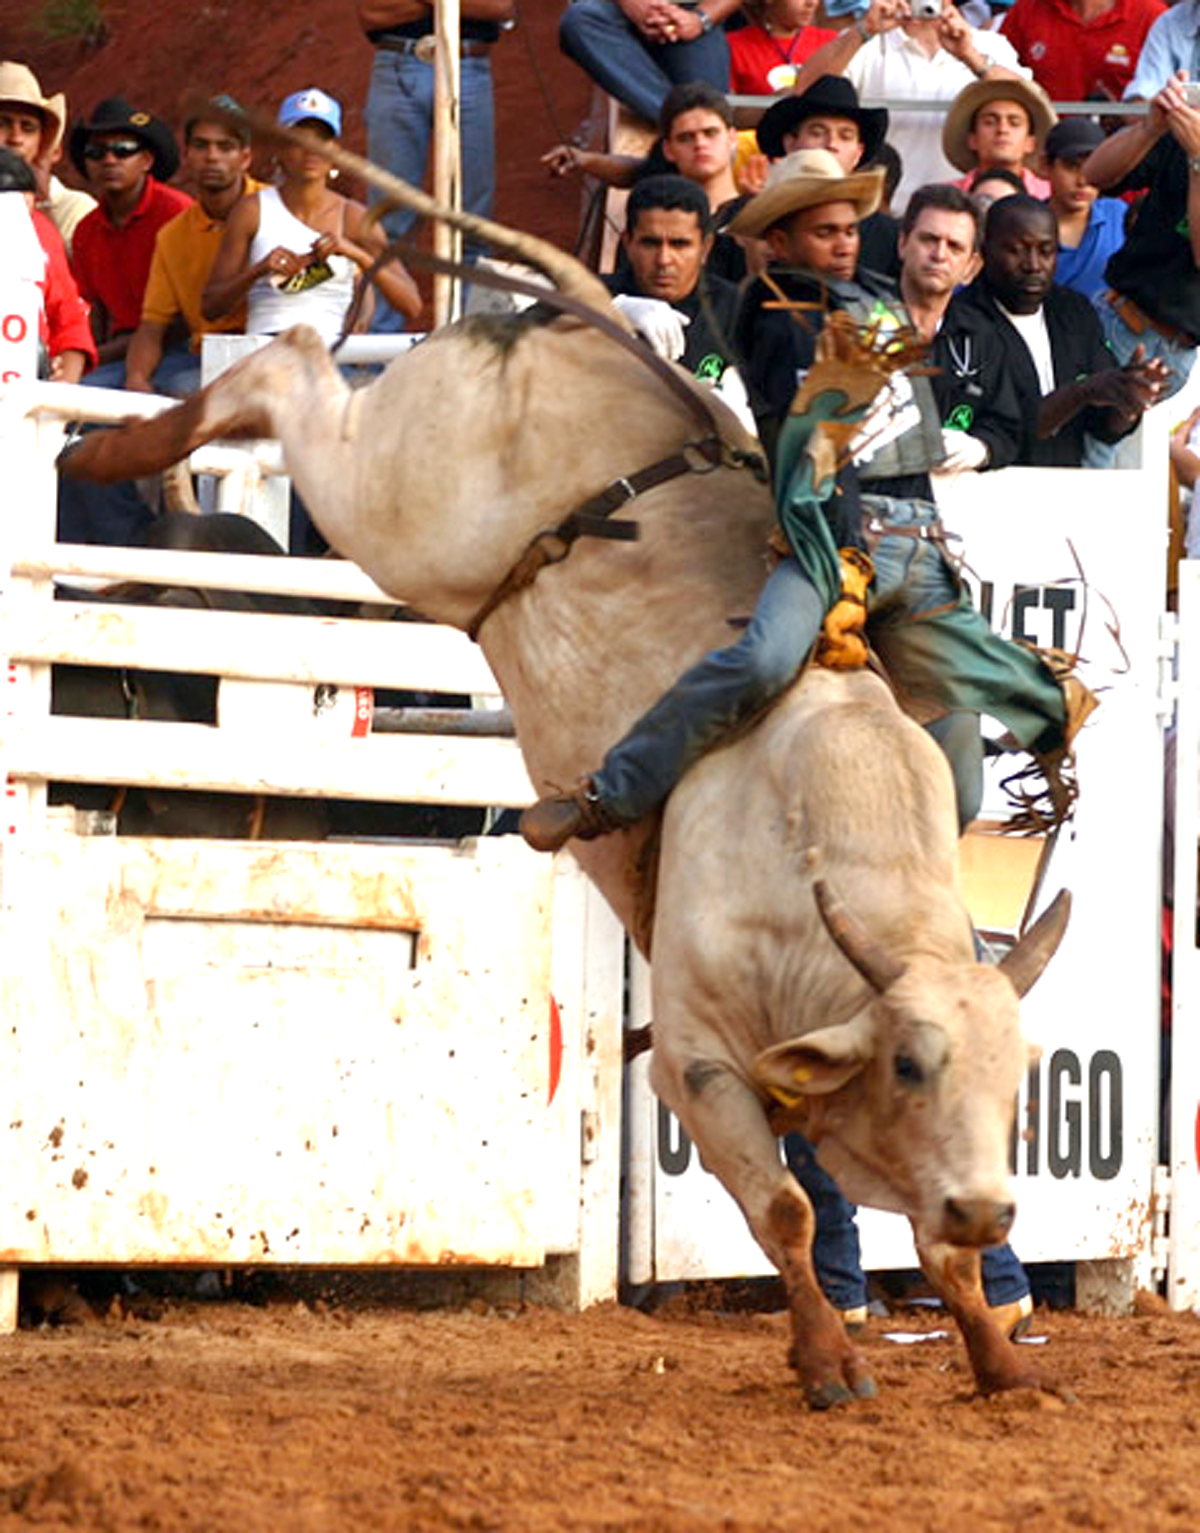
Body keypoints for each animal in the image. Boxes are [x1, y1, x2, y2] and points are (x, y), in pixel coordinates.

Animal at [60, 125, 1072, 1404]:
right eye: (910, 1065)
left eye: (1018, 1074)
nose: (994, 1206)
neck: (830, 870)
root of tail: (582, 316)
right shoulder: (695, 1063)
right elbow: (789, 1213)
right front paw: (829, 1358)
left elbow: (928, 1250)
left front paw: (996, 1352)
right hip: (398, 504)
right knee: (285, 368)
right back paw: (127, 442)